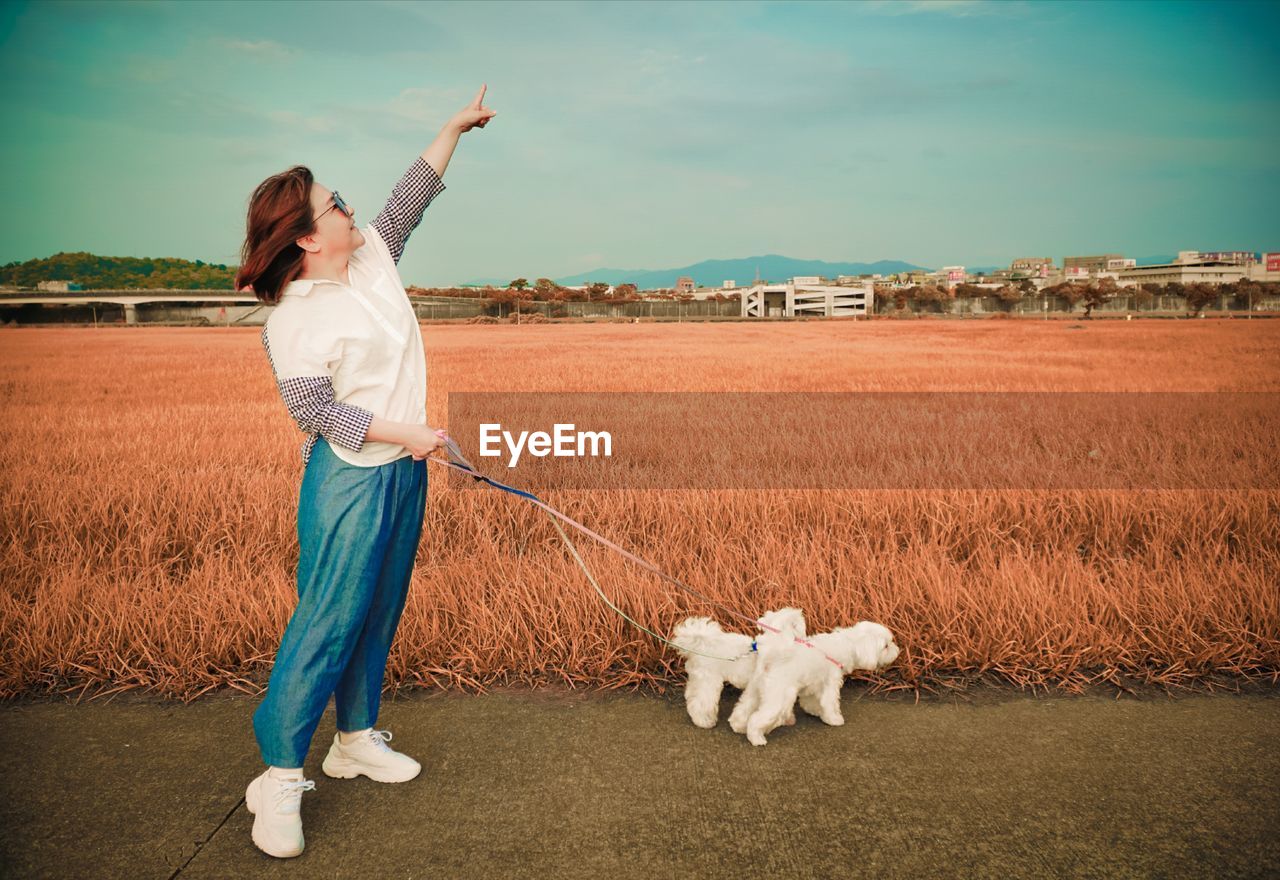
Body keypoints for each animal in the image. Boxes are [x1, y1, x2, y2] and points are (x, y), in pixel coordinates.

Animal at [675, 608, 803, 731]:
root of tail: (700, 645)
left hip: (698, 678)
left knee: (691, 695)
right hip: (709, 680)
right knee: (701, 702)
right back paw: (703, 721)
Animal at [732, 621, 901, 746]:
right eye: (886, 646)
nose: (898, 650)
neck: (848, 644)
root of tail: (770, 659)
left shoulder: (815, 683)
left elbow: (811, 701)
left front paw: (815, 711)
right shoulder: (830, 683)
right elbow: (830, 703)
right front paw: (834, 719)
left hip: (755, 690)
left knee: (742, 709)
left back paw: (738, 726)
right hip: (778, 697)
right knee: (756, 718)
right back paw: (756, 738)